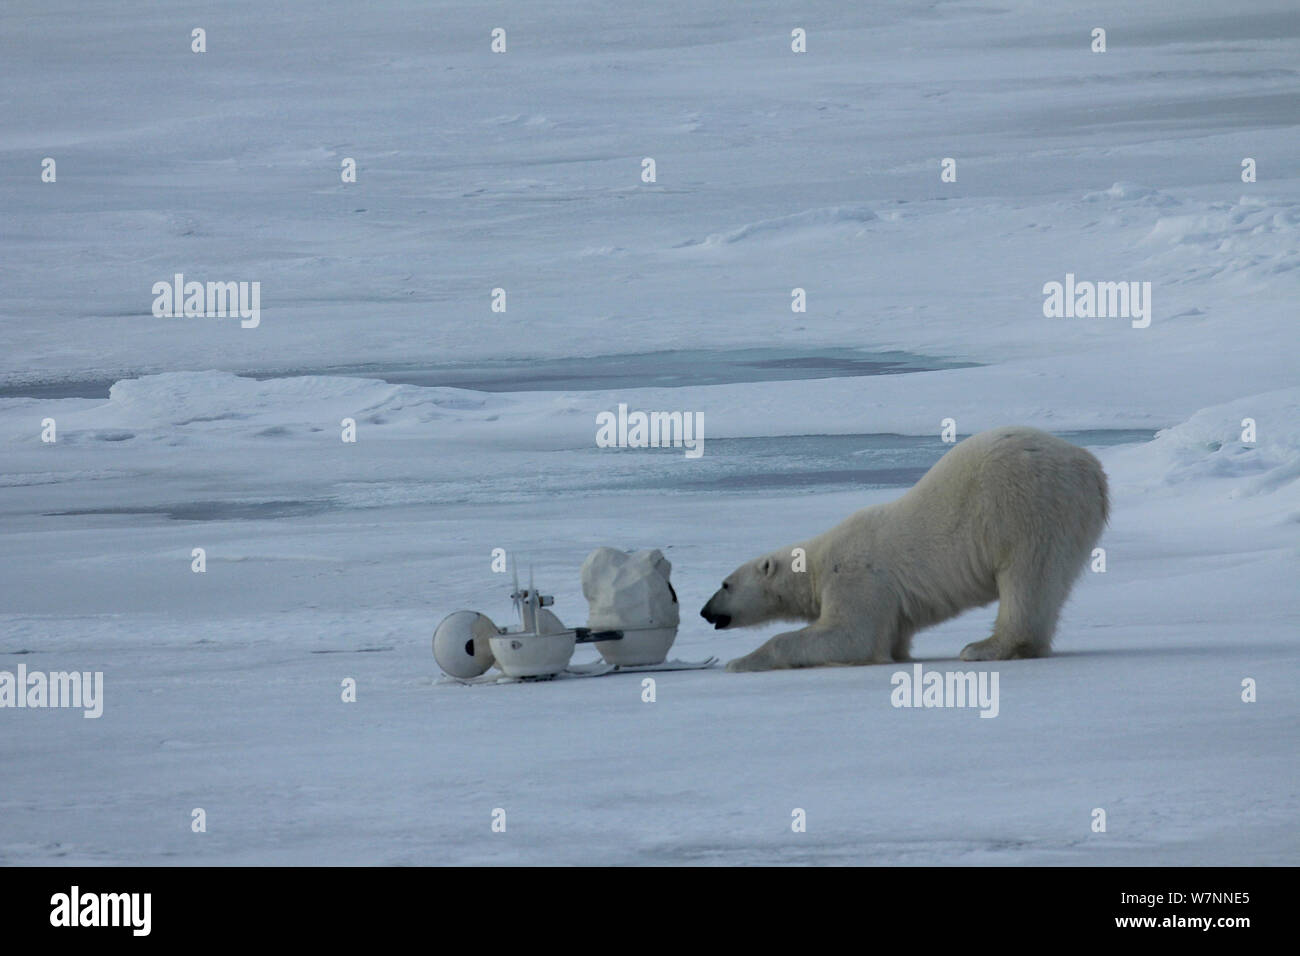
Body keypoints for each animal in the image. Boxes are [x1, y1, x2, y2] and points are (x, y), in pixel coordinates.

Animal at [702, 426, 1107, 671]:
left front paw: (740, 661)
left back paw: (983, 647)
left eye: (725, 584)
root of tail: (1091, 467)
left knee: (1025, 578)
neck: (814, 565)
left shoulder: (856, 578)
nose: (705, 611)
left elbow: (851, 637)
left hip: (1026, 507)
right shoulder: (890, 607)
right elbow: (890, 639)